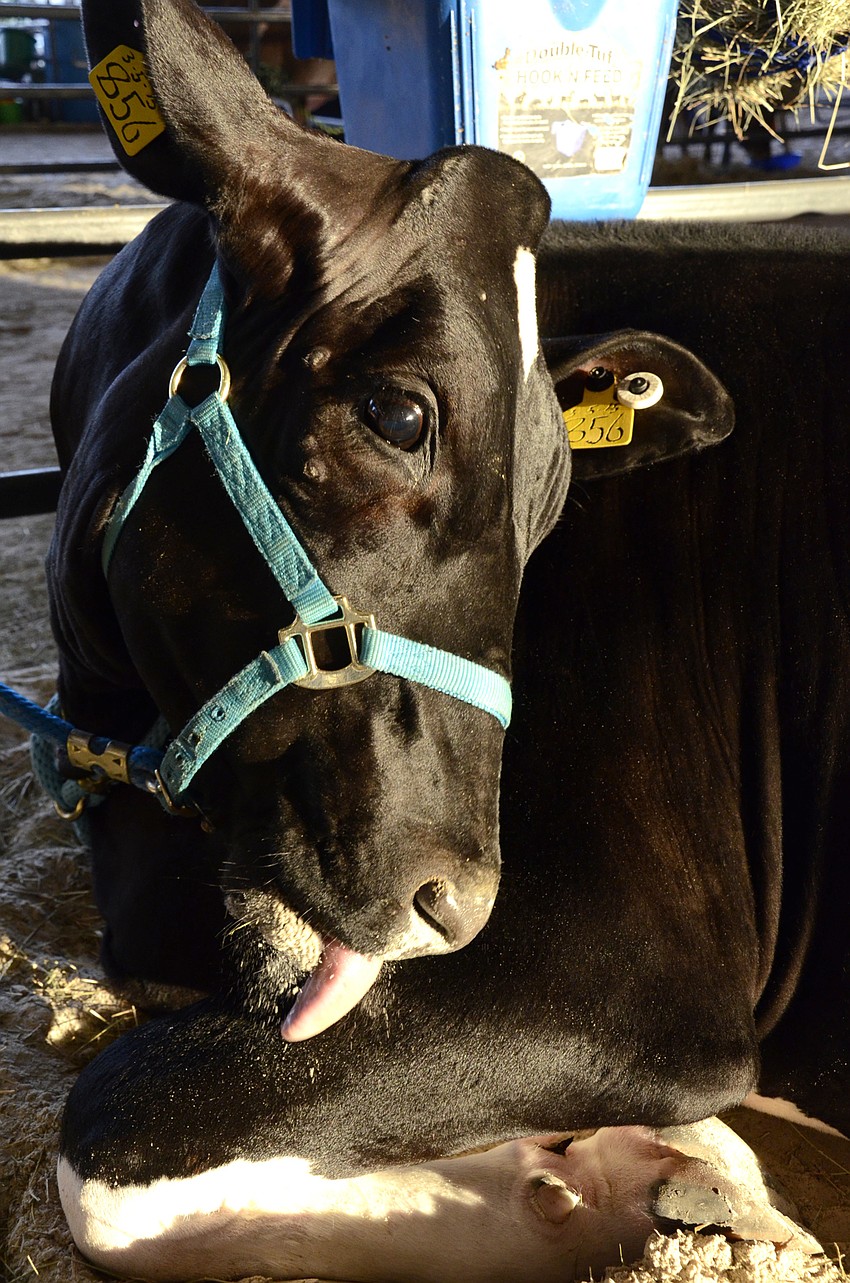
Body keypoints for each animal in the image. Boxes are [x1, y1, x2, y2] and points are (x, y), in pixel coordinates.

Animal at [47, 0, 849, 1279]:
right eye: (396, 412)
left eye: (554, 498)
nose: (457, 903)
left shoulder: (622, 974)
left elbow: (107, 1137)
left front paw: (638, 1175)